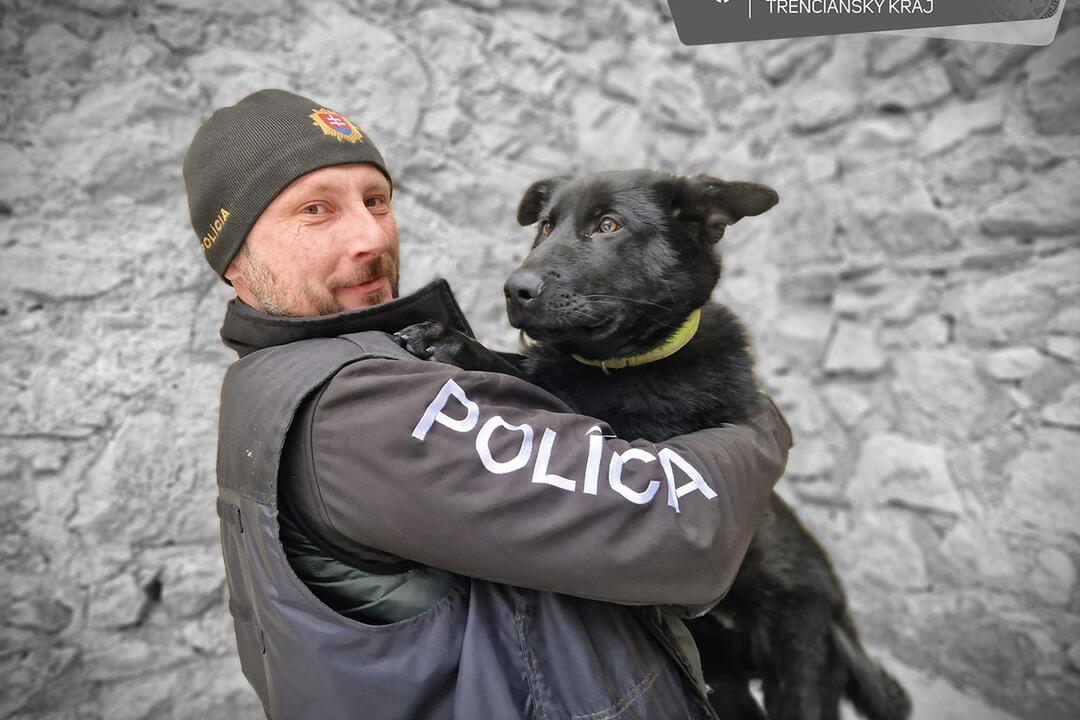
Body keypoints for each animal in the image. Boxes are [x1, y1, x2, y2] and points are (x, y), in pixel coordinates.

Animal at [397, 170, 911, 720]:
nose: (515, 290)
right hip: (726, 676)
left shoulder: (634, 445)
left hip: (799, 661)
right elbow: (525, 368)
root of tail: (841, 615)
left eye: (608, 225)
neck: (619, 364)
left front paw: (452, 341)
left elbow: (530, 380)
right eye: (545, 226)